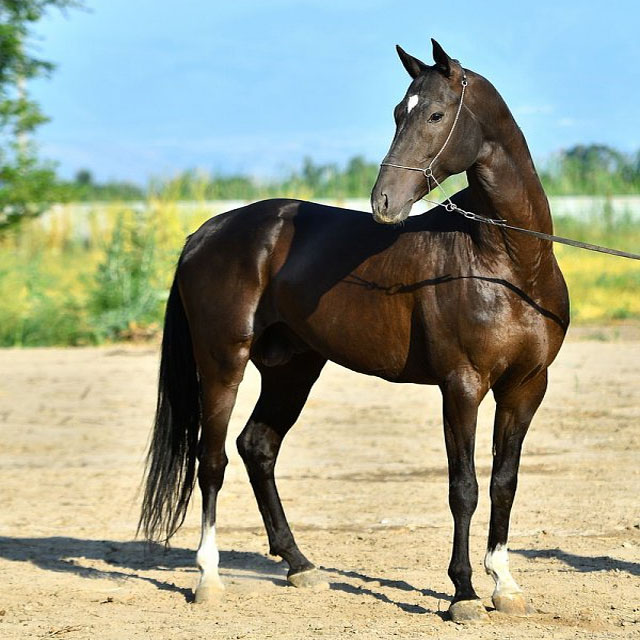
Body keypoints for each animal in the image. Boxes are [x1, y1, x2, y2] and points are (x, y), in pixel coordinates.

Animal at [140, 38, 568, 620]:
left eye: (435, 115)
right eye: (397, 113)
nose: (383, 201)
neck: (507, 262)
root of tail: (205, 233)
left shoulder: (526, 386)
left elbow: (504, 482)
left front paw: (504, 584)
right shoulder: (461, 386)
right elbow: (464, 487)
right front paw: (462, 593)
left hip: (292, 368)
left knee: (257, 446)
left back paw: (300, 566)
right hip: (223, 362)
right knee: (213, 460)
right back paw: (209, 578)